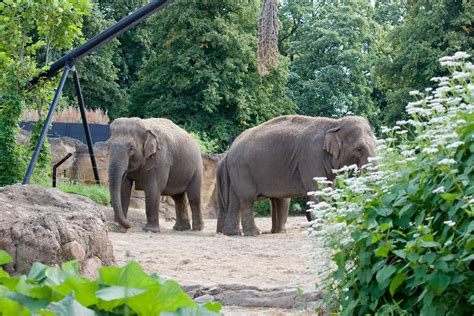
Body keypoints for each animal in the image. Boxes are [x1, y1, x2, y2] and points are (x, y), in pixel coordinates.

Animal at [218, 115, 378, 236]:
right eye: (358, 149)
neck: (335, 123)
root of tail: (229, 150)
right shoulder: (311, 157)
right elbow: (317, 192)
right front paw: (320, 230)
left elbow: (326, 191)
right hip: (242, 169)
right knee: (247, 198)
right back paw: (254, 234)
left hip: (237, 171)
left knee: (236, 199)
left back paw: (234, 233)